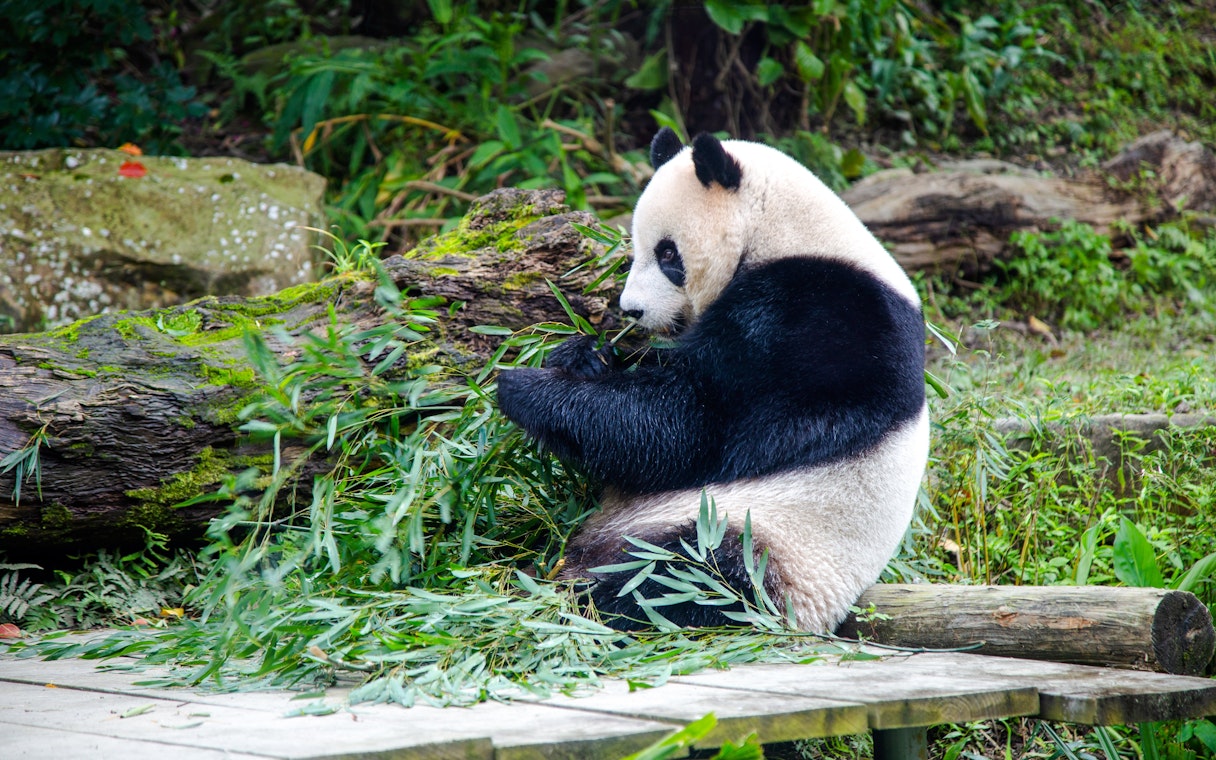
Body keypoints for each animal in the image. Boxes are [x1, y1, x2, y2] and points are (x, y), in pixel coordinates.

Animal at [496, 128, 929, 632]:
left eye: (667, 253)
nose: (631, 311)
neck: (788, 235)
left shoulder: (823, 324)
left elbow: (695, 426)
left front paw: (524, 387)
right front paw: (583, 355)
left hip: (763, 541)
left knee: (681, 576)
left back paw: (578, 595)